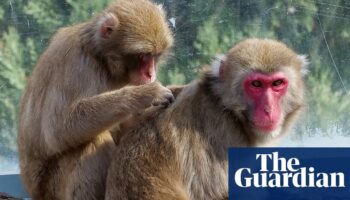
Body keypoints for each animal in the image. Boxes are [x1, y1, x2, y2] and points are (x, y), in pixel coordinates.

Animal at [17, 0, 174, 199]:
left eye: (154, 56)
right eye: (142, 56)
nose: (150, 74)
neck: (100, 58)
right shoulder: (76, 62)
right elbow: (57, 128)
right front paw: (146, 94)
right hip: (52, 187)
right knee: (92, 140)